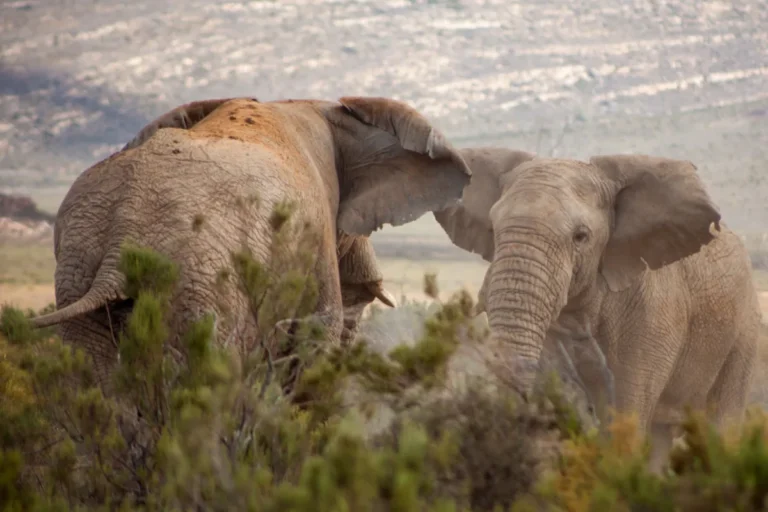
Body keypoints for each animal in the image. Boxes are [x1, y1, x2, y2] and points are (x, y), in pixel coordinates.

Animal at [436, 147, 764, 472]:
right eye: (493, 229)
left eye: (580, 237)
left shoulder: (653, 312)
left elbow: (626, 417)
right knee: (661, 437)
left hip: (745, 330)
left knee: (723, 423)